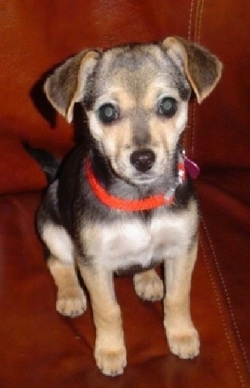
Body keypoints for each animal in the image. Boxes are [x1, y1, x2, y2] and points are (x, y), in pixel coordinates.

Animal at [36, 36, 222, 376]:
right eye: (108, 112)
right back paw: (71, 295)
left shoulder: (183, 248)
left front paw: (181, 334)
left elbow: (178, 296)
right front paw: (110, 351)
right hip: (53, 230)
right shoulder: (94, 263)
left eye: (167, 105)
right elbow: (108, 310)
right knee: (58, 263)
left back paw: (148, 279)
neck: (140, 198)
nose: (143, 159)